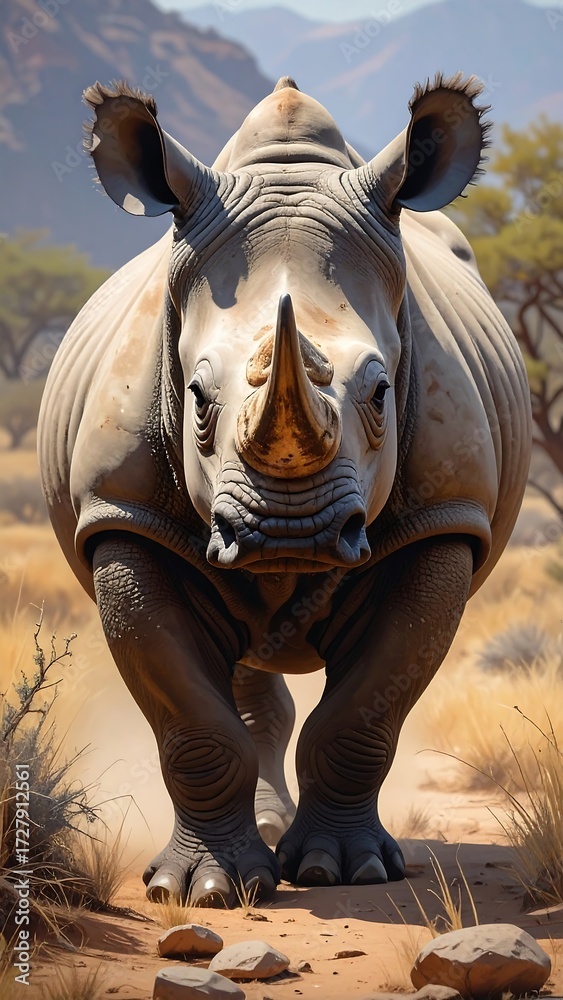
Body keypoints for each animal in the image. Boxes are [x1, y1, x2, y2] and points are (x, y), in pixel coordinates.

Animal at [38, 74, 531, 907]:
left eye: (380, 393)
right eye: (198, 399)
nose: (287, 534)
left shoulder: (443, 519)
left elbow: (362, 713)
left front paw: (345, 870)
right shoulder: (123, 516)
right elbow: (190, 719)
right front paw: (203, 890)